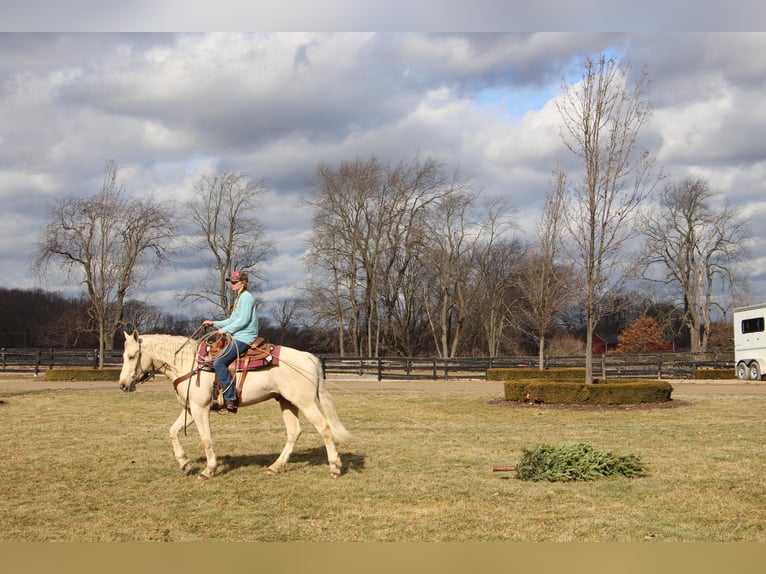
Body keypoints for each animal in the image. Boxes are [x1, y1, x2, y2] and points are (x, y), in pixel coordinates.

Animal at [118, 330, 352, 480]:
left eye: (131, 356)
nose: (122, 385)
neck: (189, 364)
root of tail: (308, 357)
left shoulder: (200, 409)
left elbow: (206, 439)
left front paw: (209, 470)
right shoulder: (191, 409)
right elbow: (172, 432)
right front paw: (184, 462)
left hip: (306, 403)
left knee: (325, 428)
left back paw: (334, 467)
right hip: (287, 402)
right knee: (294, 432)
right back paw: (276, 467)